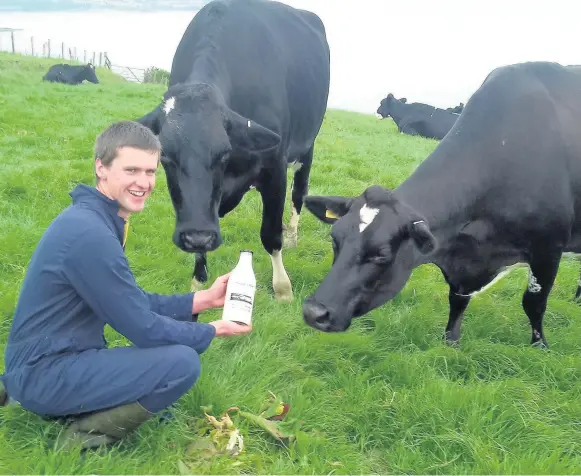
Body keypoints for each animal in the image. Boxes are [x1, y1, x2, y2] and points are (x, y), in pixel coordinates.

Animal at [133, 0, 328, 302]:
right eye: (164, 155)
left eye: (224, 152)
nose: (196, 237)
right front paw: (198, 281)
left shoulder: (275, 167)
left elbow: (270, 233)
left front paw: (283, 289)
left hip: (306, 146)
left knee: (300, 192)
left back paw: (293, 236)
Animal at [302, 61, 580, 348]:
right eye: (335, 239)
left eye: (381, 254)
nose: (314, 312)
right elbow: (457, 299)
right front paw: (451, 341)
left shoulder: (549, 248)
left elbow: (533, 303)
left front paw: (540, 346)